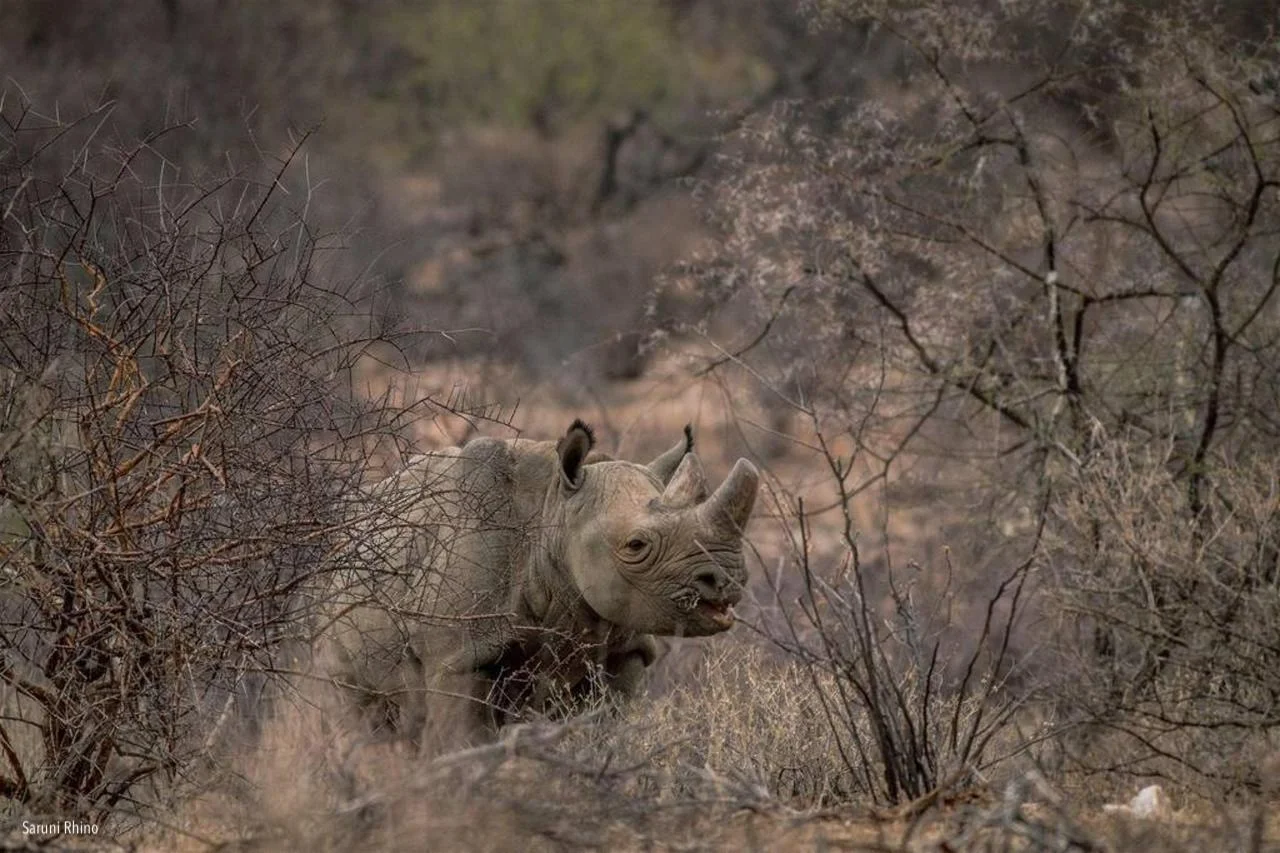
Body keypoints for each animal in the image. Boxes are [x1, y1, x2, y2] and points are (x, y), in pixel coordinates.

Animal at [317, 420, 759, 746]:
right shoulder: (457, 654)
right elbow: (462, 741)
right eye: (636, 545)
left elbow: (605, 734)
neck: (554, 510)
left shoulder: (626, 648)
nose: (728, 579)